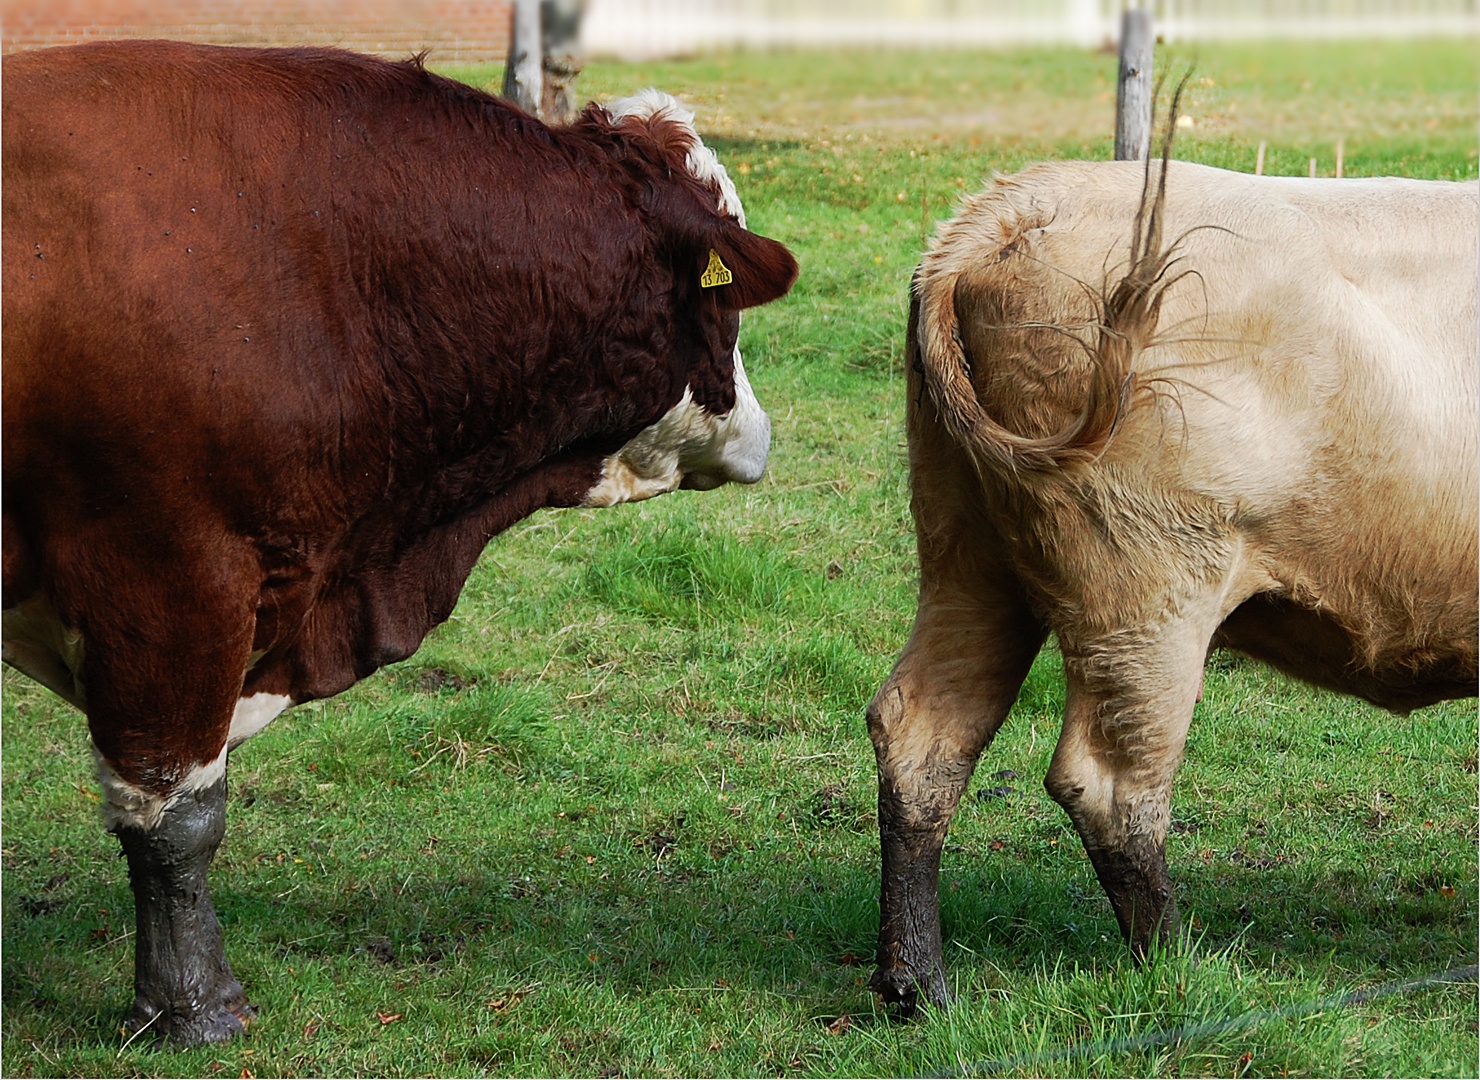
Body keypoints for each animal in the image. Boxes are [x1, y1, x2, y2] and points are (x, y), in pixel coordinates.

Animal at [870, 155, 1474, 1006]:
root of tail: (1009, 206)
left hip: (966, 549)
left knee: (924, 729)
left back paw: (918, 985)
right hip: (1149, 584)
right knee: (1110, 785)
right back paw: (1185, 968)